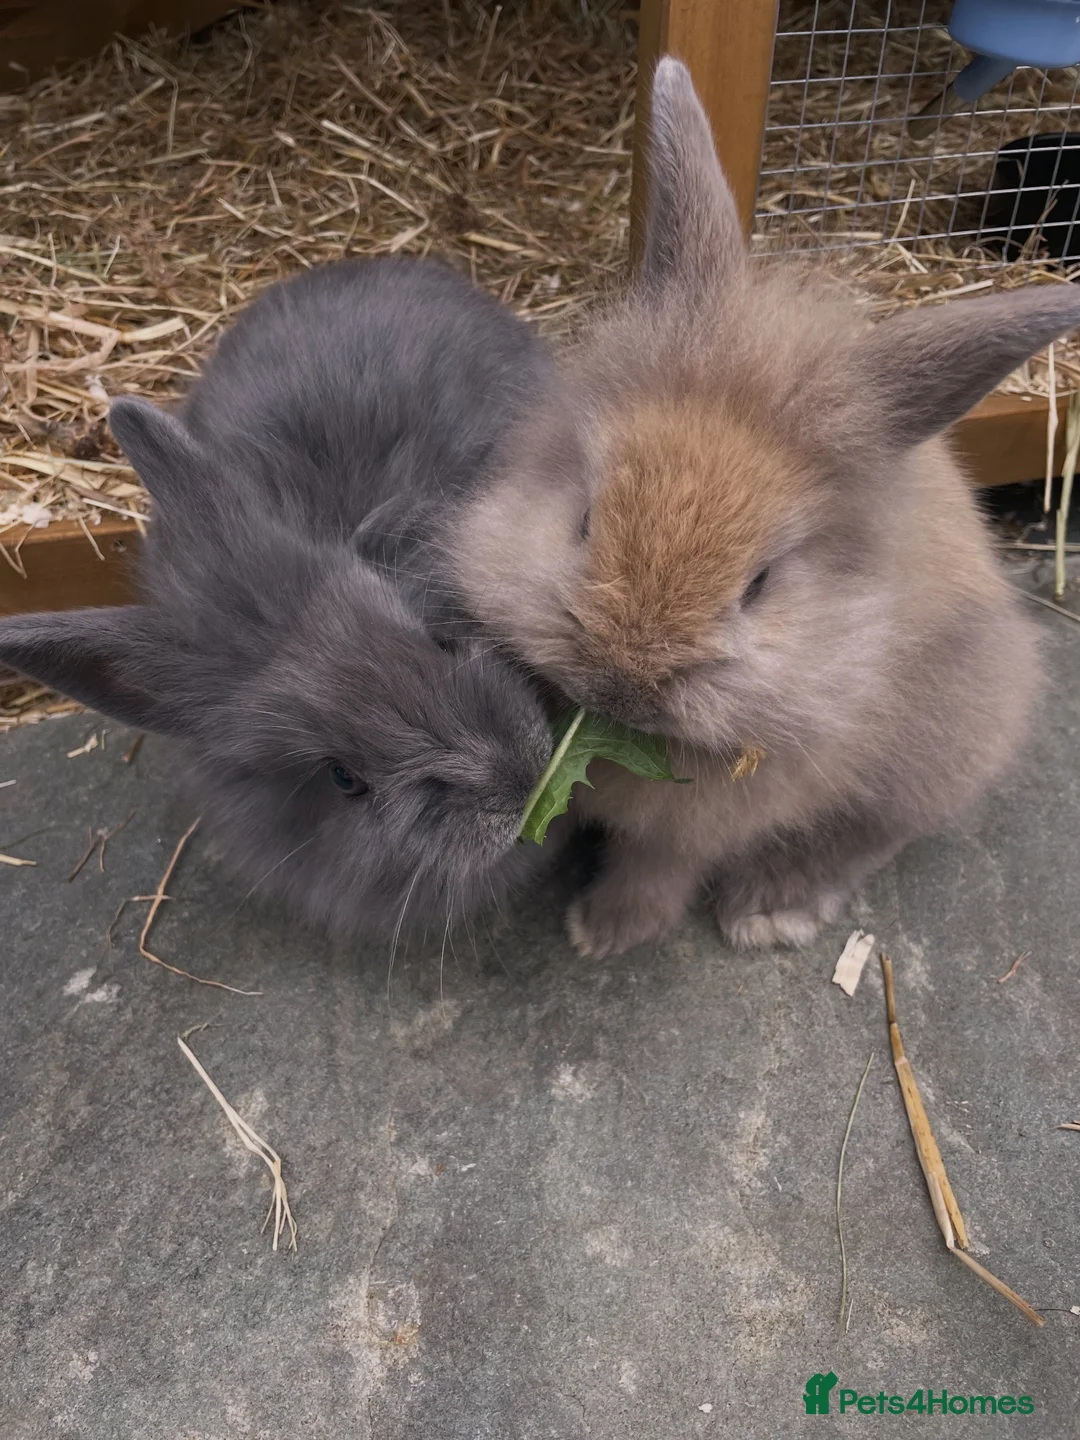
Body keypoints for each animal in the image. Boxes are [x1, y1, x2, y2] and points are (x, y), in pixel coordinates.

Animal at [447, 57, 1080, 958]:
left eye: (760, 585)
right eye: (585, 521)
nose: (621, 686)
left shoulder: (705, 817)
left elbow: (661, 866)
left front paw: (603, 931)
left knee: (872, 834)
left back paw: (771, 909)